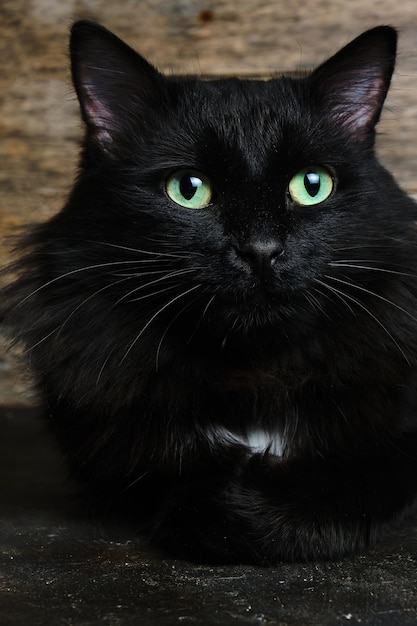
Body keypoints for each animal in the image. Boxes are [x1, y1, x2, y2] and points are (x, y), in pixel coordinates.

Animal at [3, 20, 416, 560]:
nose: (261, 250)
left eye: (312, 185)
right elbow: (180, 478)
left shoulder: (394, 445)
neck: (253, 371)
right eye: (189, 188)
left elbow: (344, 488)